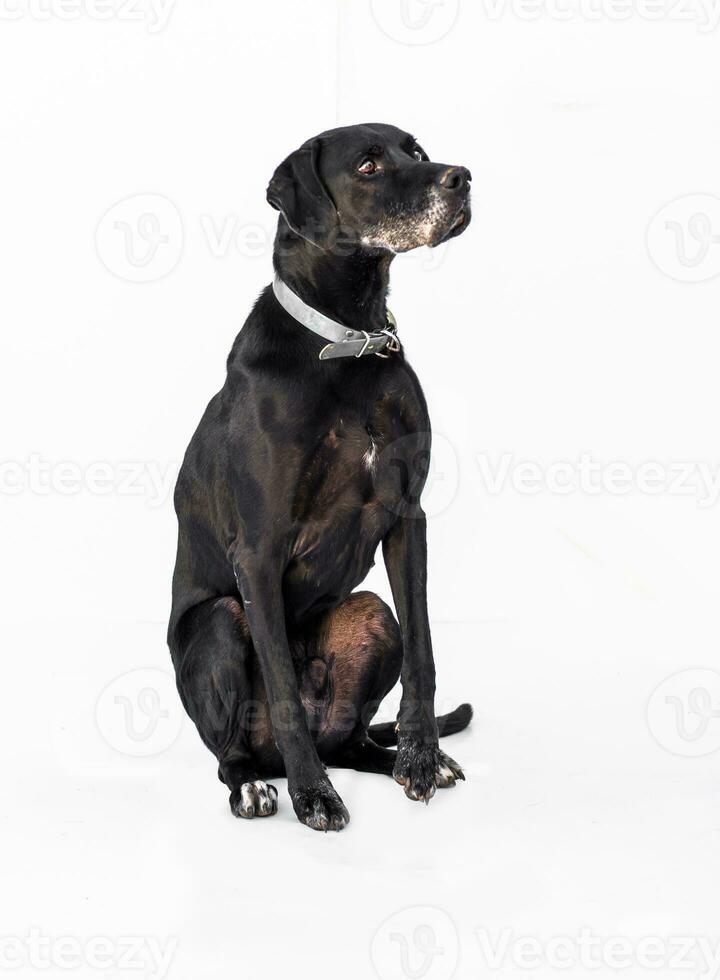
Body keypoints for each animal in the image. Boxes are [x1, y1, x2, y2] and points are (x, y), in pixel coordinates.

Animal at [168, 118, 472, 832]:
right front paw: (314, 796)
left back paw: (389, 758)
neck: (350, 341)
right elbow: (280, 683)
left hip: (372, 616)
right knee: (234, 749)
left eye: (416, 152)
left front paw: (422, 756)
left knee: (352, 736)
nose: (463, 177)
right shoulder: (256, 552)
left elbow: (424, 651)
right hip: (219, 622)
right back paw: (258, 784)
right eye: (367, 165)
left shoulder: (408, 516)